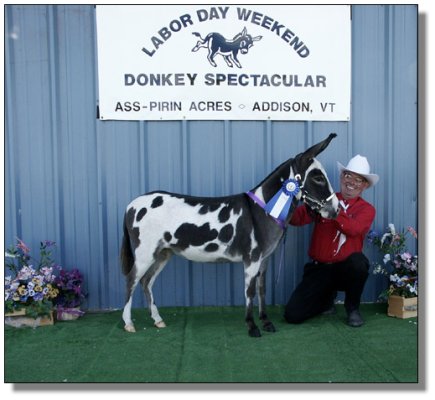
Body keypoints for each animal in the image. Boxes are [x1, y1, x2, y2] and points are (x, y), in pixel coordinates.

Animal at [120, 133, 339, 337]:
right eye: (318, 178)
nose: (336, 209)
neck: (264, 209)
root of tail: (131, 204)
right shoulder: (251, 259)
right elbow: (249, 292)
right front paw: (252, 326)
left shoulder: (264, 259)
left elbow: (262, 290)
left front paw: (266, 322)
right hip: (145, 252)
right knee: (131, 280)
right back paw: (129, 323)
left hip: (163, 253)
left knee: (146, 281)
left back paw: (157, 320)